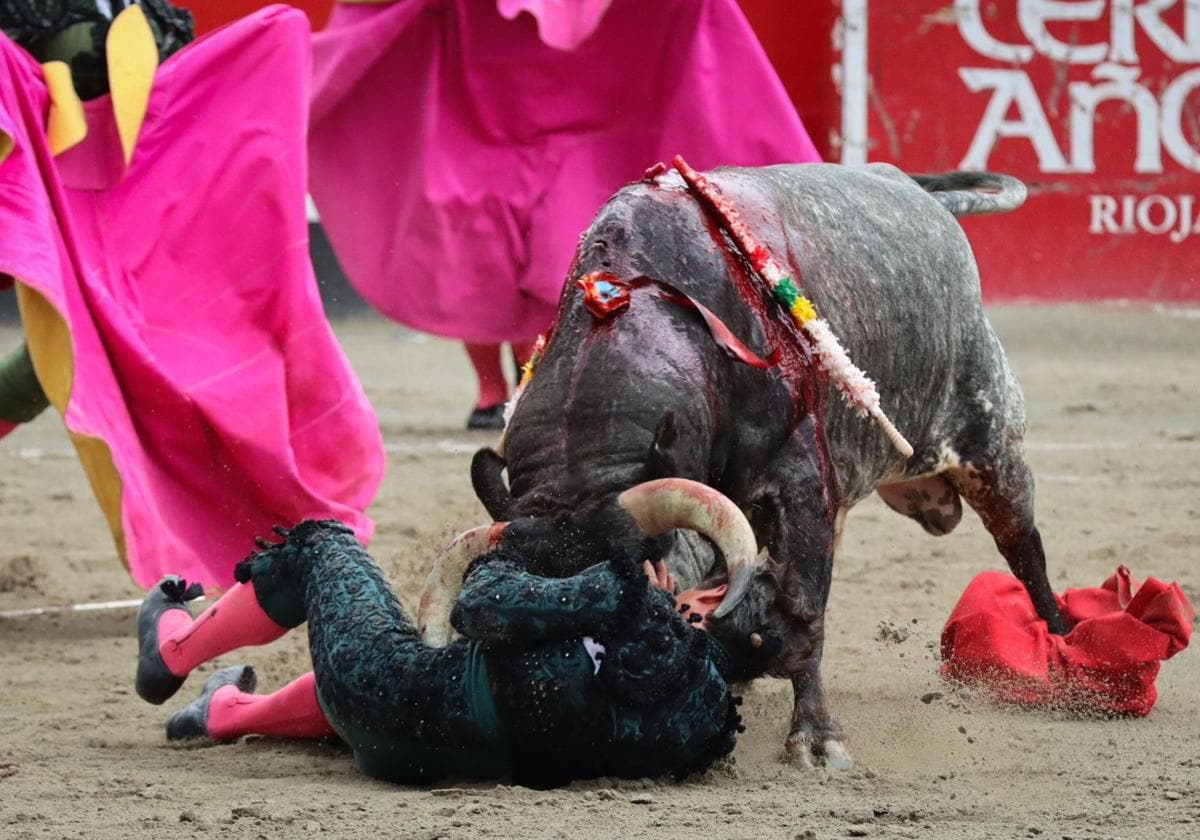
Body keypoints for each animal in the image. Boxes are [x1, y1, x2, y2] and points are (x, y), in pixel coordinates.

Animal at [417, 160, 1065, 772]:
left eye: (645, 581)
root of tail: (919, 193)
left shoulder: (800, 483)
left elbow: (805, 606)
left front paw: (816, 738)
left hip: (990, 441)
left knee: (1023, 547)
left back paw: (1064, 654)